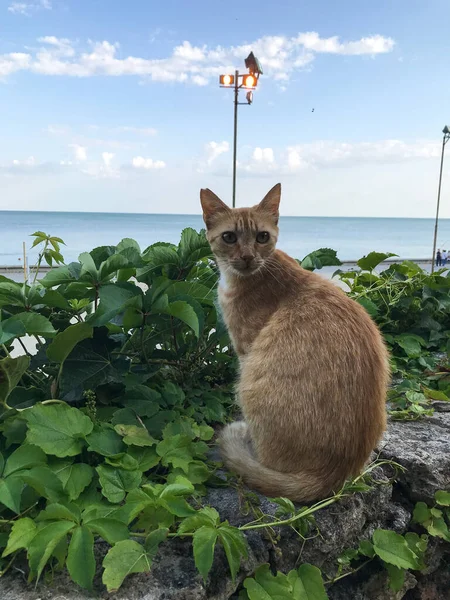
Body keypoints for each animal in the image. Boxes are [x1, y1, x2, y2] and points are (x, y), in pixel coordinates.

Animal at [200, 183, 390, 502]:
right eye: (229, 237)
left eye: (262, 237)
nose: (248, 256)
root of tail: (331, 477)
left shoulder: (244, 349)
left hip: (249, 386)